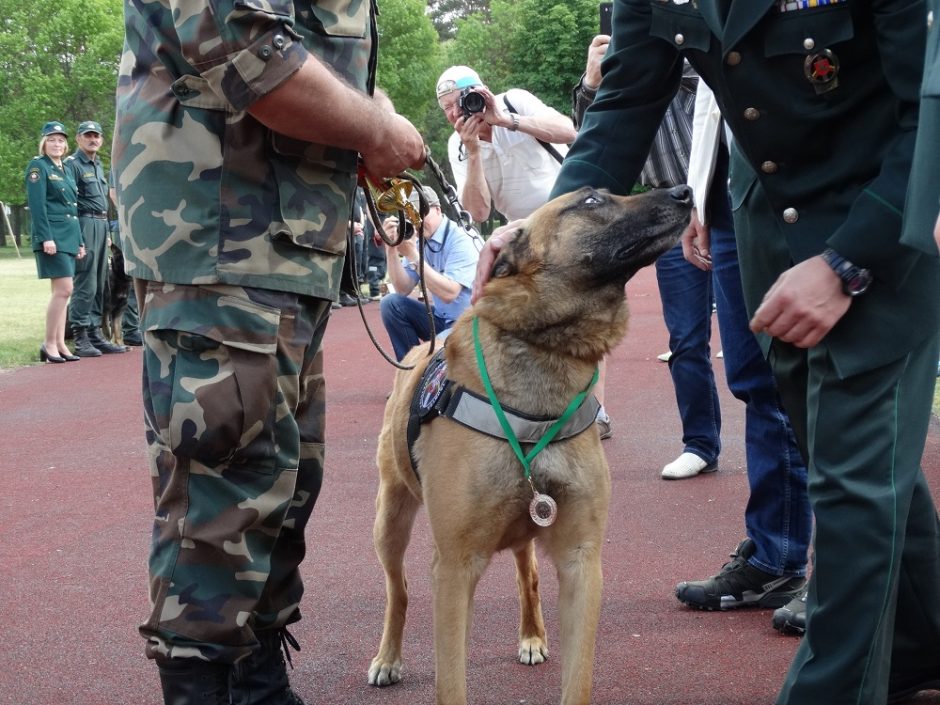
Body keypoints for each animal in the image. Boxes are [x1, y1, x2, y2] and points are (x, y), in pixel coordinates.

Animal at [370, 184, 692, 700]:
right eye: (591, 200)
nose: (685, 191)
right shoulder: (455, 568)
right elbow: (450, 682)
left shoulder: (582, 562)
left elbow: (577, 680)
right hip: (390, 522)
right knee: (397, 589)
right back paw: (387, 658)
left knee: (529, 577)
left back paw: (532, 636)